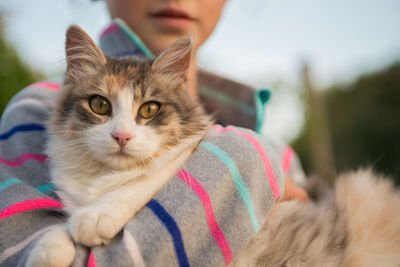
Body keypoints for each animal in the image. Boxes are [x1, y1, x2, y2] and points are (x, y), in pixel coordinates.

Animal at [26, 25, 211, 267]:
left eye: (149, 109)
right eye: (100, 105)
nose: (122, 136)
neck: (106, 172)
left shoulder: (182, 152)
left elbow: (143, 179)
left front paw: (94, 217)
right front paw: (49, 248)